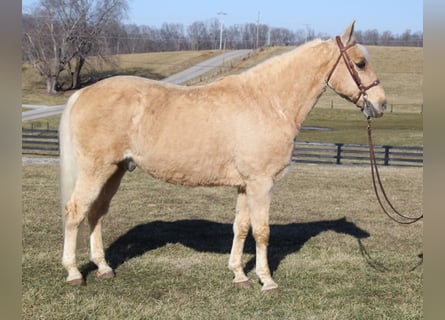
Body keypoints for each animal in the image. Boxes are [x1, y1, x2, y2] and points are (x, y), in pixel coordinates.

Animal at [59, 19, 386, 290]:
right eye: (360, 63)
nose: (381, 104)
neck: (268, 102)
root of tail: (82, 93)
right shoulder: (261, 183)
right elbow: (262, 231)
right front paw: (267, 281)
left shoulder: (244, 185)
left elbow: (241, 228)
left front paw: (239, 275)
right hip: (96, 169)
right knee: (76, 211)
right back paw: (74, 273)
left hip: (114, 170)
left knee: (96, 213)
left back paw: (103, 268)